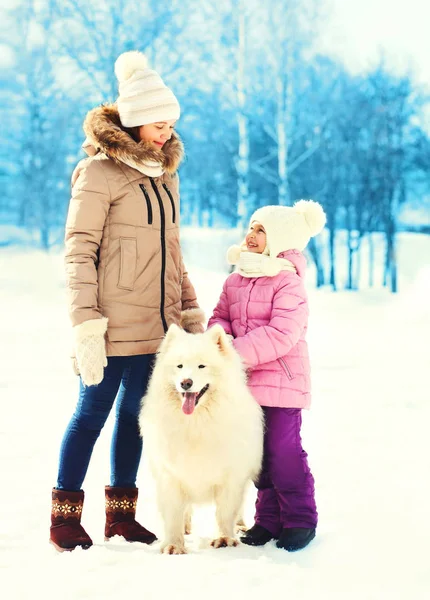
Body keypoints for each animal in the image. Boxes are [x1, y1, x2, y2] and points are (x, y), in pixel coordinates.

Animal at [139, 326, 264, 556]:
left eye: (201, 366)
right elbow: (173, 514)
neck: (195, 423)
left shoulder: (231, 476)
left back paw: (240, 526)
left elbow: (225, 512)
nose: (185, 383)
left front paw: (224, 539)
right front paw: (174, 545)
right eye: (179, 366)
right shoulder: (171, 474)